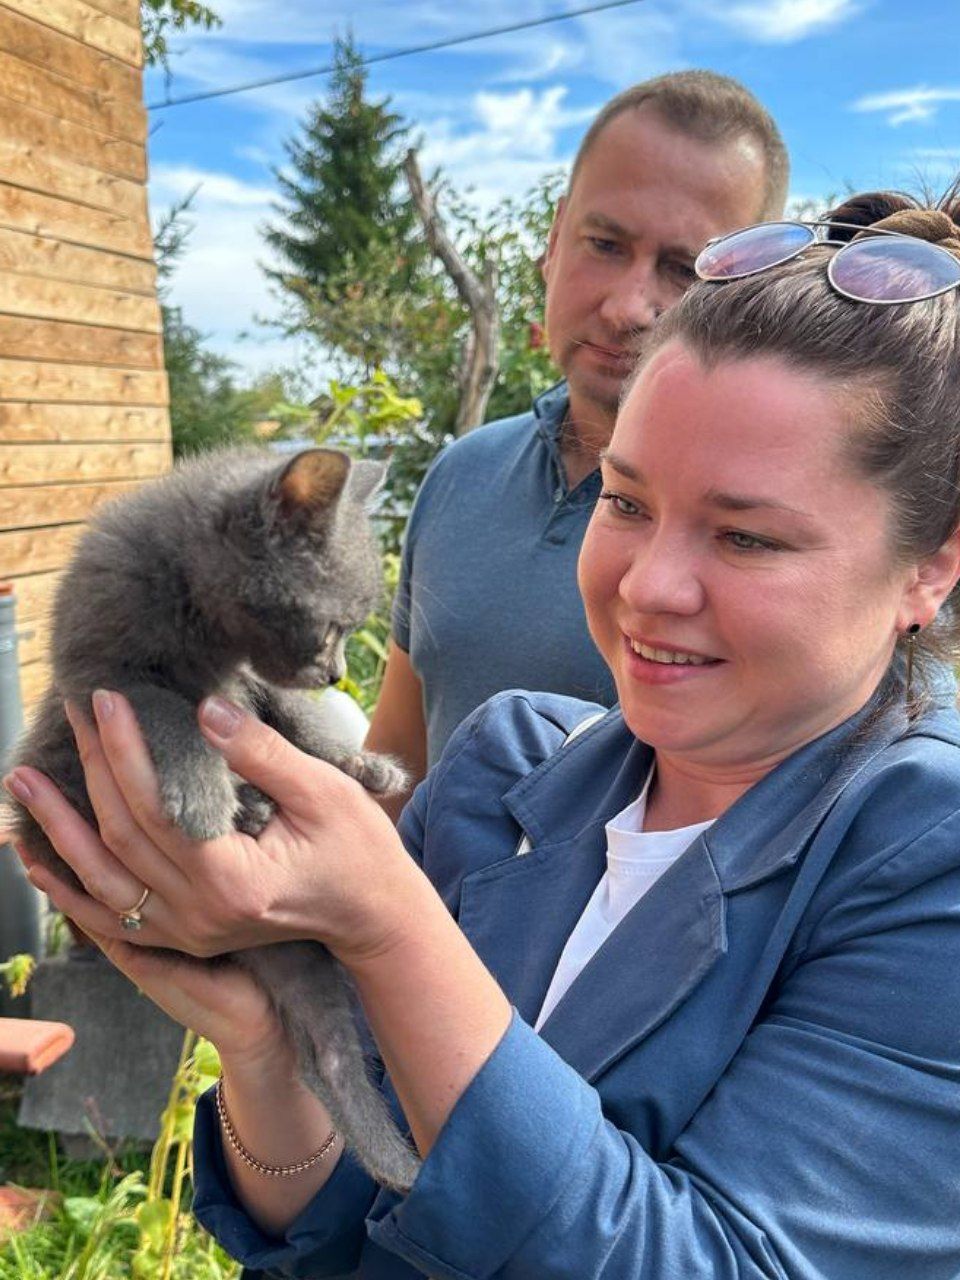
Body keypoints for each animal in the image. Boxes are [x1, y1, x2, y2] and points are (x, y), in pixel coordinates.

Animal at [7, 445, 419, 1192]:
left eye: (353, 629)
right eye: (334, 627)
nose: (338, 674)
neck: (206, 631)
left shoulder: (251, 685)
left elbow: (292, 721)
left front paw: (358, 765)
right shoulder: (100, 673)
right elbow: (168, 708)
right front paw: (203, 793)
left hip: (307, 960)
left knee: (327, 1057)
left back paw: (397, 1166)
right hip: (52, 764)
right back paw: (247, 806)